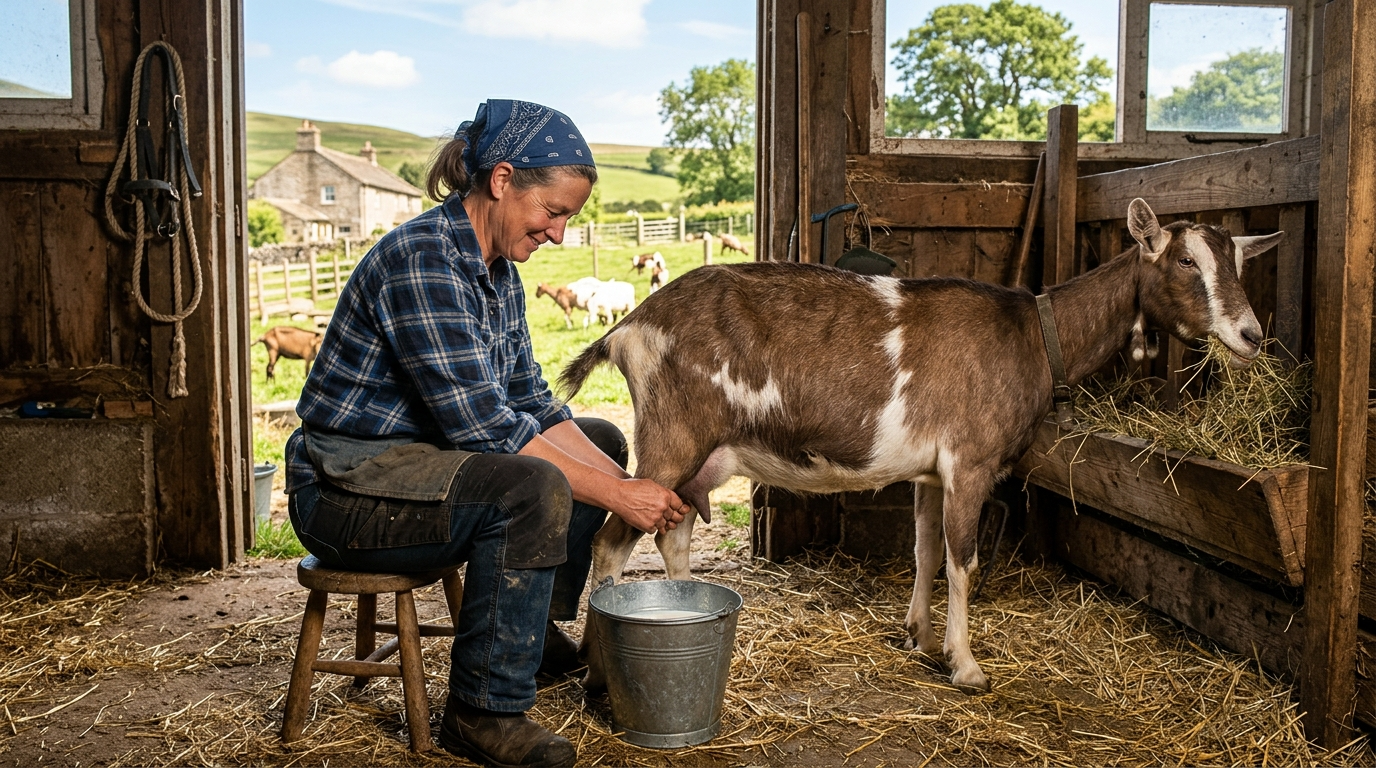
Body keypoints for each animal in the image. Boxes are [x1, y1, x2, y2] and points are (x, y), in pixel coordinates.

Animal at [559, 199, 1282, 694]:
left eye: (1239, 263)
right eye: (1186, 261)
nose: (1251, 336)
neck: (1035, 334)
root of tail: (628, 328)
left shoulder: (933, 473)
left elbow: (926, 552)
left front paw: (919, 636)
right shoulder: (971, 463)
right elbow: (964, 561)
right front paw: (967, 666)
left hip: (696, 458)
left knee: (672, 534)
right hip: (671, 441)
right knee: (612, 542)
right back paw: (597, 667)